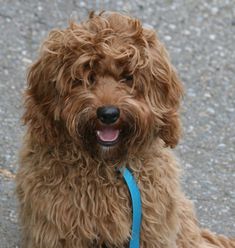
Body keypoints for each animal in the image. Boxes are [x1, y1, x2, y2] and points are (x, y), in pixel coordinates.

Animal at [15, 11, 234, 248]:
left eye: (128, 77)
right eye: (86, 78)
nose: (108, 114)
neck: (107, 165)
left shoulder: (153, 229)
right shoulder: (57, 231)